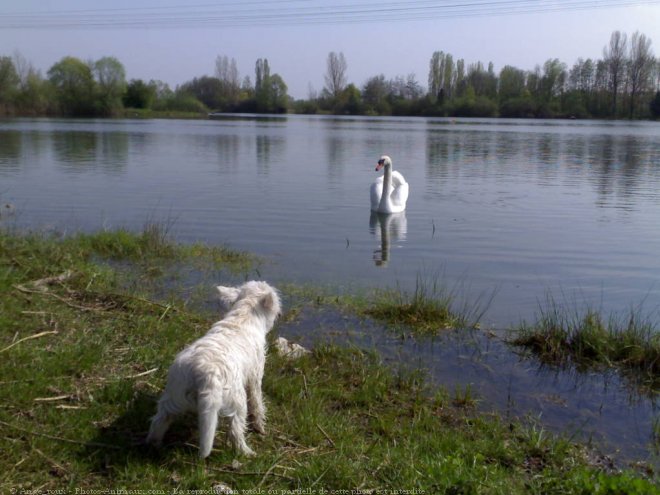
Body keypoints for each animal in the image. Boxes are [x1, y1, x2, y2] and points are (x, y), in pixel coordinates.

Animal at [147, 280, 282, 460]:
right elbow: (257, 403)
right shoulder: (255, 376)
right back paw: (246, 452)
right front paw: (260, 427)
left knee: (159, 421)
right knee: (236, 431)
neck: (244, 315)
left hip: (174, 395)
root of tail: (204, 372)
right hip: (237, 401)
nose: (279, 315)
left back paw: (154, 444)